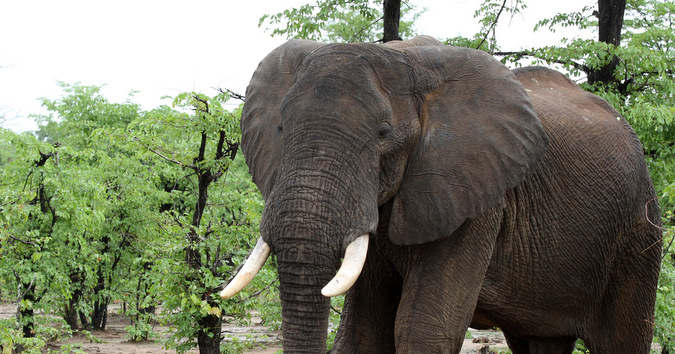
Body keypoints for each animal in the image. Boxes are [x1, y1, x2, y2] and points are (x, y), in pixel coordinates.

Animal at [220, 36, 660, 354]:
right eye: (280, 129)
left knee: (622, 341)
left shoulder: (474, 194)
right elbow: (365, 332)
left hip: (638, 230)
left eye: (383, 135)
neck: (403, 58)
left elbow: (421, 328)